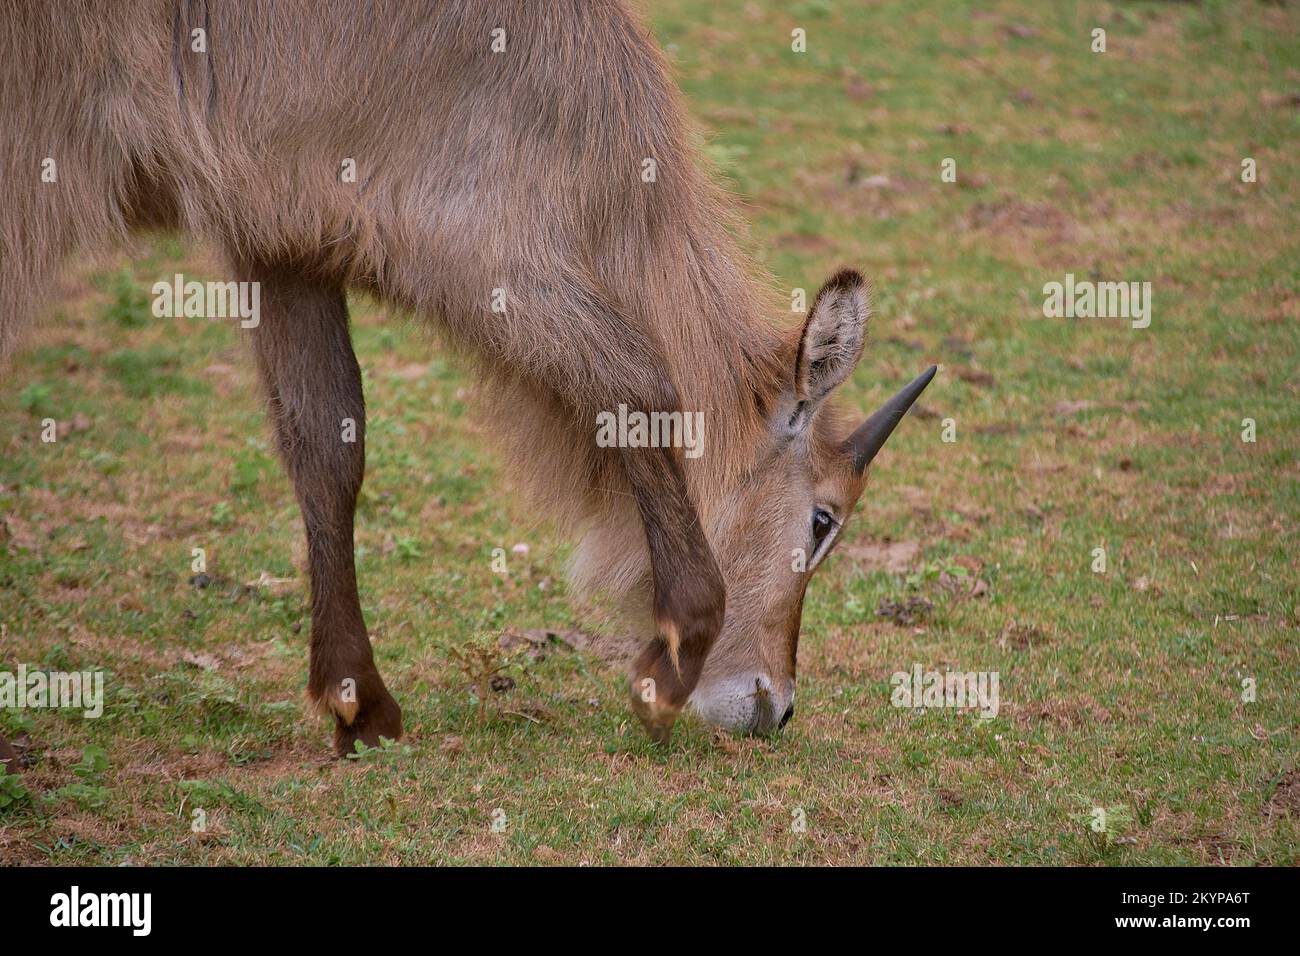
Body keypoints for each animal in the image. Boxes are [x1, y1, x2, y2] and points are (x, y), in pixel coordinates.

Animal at [0, 1, 935, 764]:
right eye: (823, 519)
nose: (776, 706)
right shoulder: (476, 240)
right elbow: (635, 382)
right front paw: (670, 664)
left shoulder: (280, 236)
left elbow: (327, 440)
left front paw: (358, 704)